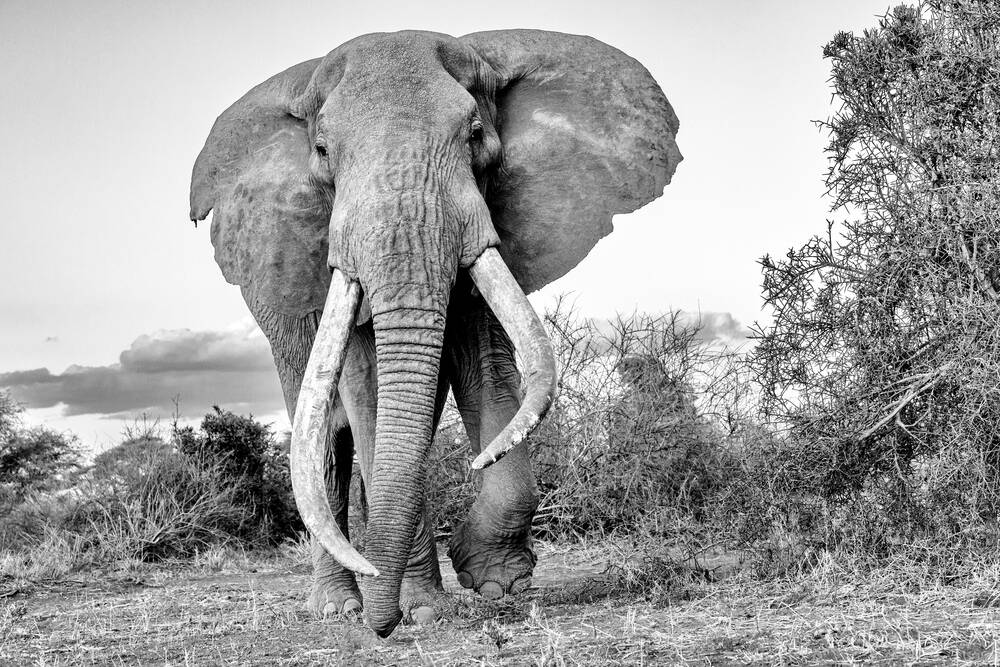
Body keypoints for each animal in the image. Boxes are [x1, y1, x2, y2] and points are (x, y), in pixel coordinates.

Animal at [189, 29, 681, 637]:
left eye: (475, 135)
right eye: (323, 151)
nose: (382, 630)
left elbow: (488, 370)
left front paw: (493, 583)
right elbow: (372, 393)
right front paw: (422, 609)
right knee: (325, 439)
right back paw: (338, 607)